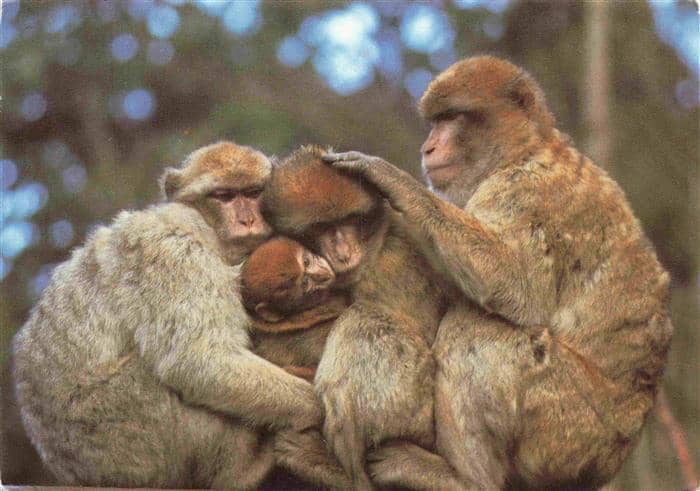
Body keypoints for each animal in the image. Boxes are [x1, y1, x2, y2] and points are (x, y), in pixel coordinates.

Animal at [11, 141, 333, 489]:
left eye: (253, 192)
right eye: (224, 196)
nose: (247, 219)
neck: (211, 232)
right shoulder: (176, 252)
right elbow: (200, 361)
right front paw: (315, 407)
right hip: (124, 433)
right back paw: (241, 472)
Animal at [323, 56, 673, 490]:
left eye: (452, 117)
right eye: (435, 120)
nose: (428, 147)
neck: (524, 149)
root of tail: (618, 449)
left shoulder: (525, 193)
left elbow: (515, 285)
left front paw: (391, 179)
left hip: (565, 427)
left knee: (476, 329)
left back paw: (465, 479)